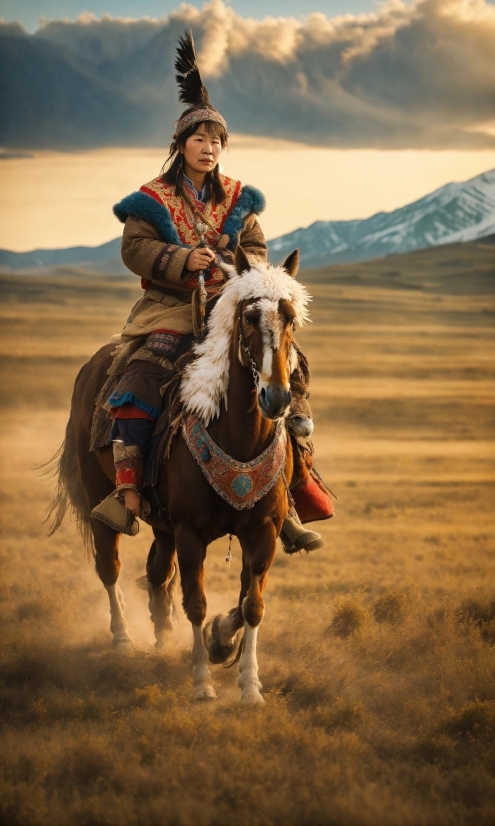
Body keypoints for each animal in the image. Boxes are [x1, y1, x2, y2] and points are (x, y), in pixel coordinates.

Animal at [46, 246, 310, 700]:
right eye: (248, 316)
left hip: (162, 522)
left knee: (157, 572)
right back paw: (123, 637)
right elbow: (196, 602)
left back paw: (163, 636)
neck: (237, 438)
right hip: (100, 496)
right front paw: (203, 682)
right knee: (109, 566)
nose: (275, 398)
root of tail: (91, 368)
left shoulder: (263, 531)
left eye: (291, 317)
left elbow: (250, 604)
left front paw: (242, 673)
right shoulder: (190, 532)